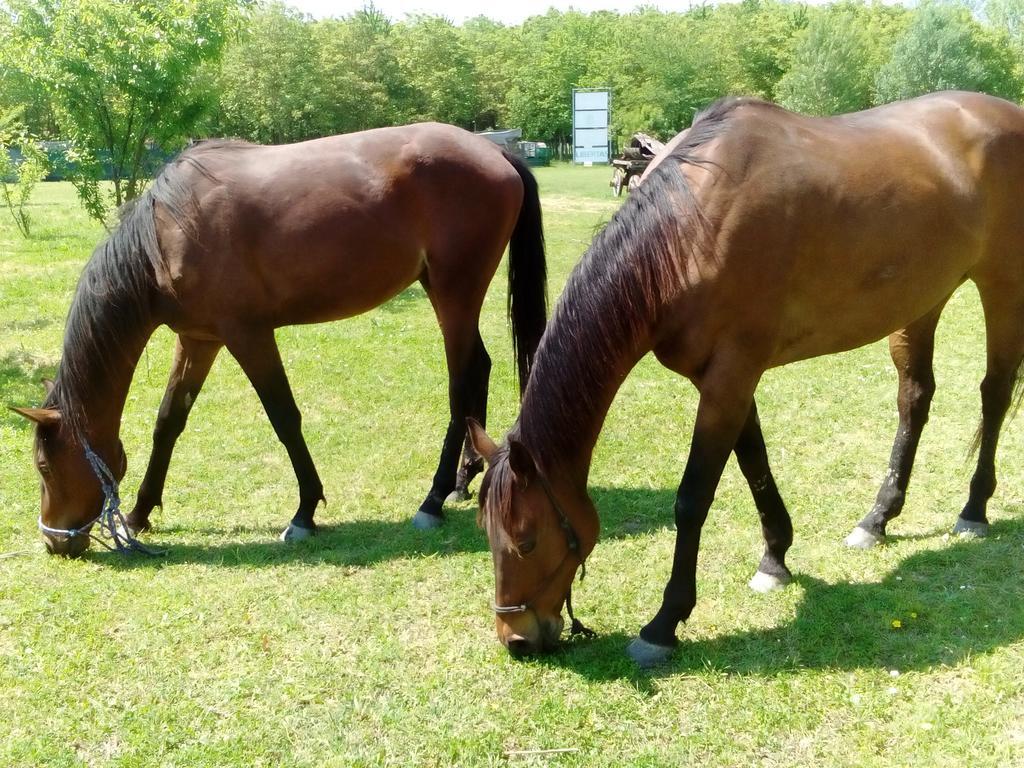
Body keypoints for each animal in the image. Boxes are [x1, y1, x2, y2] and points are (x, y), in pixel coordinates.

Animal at [14, 124, 544, 561]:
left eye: (44, 465)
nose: (53, 541)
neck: (167, 232)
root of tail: (493, 151)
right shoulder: (198, 340)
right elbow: (168, 422)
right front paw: (140, 514)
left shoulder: (248, 336)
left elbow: (284, 418)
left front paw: (304, 512)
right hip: (445, 292)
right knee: (480, 367)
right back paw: (463, 480)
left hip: (454, 294)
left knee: (461, 385)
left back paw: (433, 500)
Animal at [468, 91, 1024, 667]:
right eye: (485, 532)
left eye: (527, 540)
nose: (515, 639)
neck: (695, 226)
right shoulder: (724, 381)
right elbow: (754, 464)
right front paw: (775, 558)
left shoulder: (730, 377)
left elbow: (693, 498)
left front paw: (664, 623)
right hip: (921, 301)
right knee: (915, 398)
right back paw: (877, 519)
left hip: (1004, 284)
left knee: (995, 392)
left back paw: (974, 509)